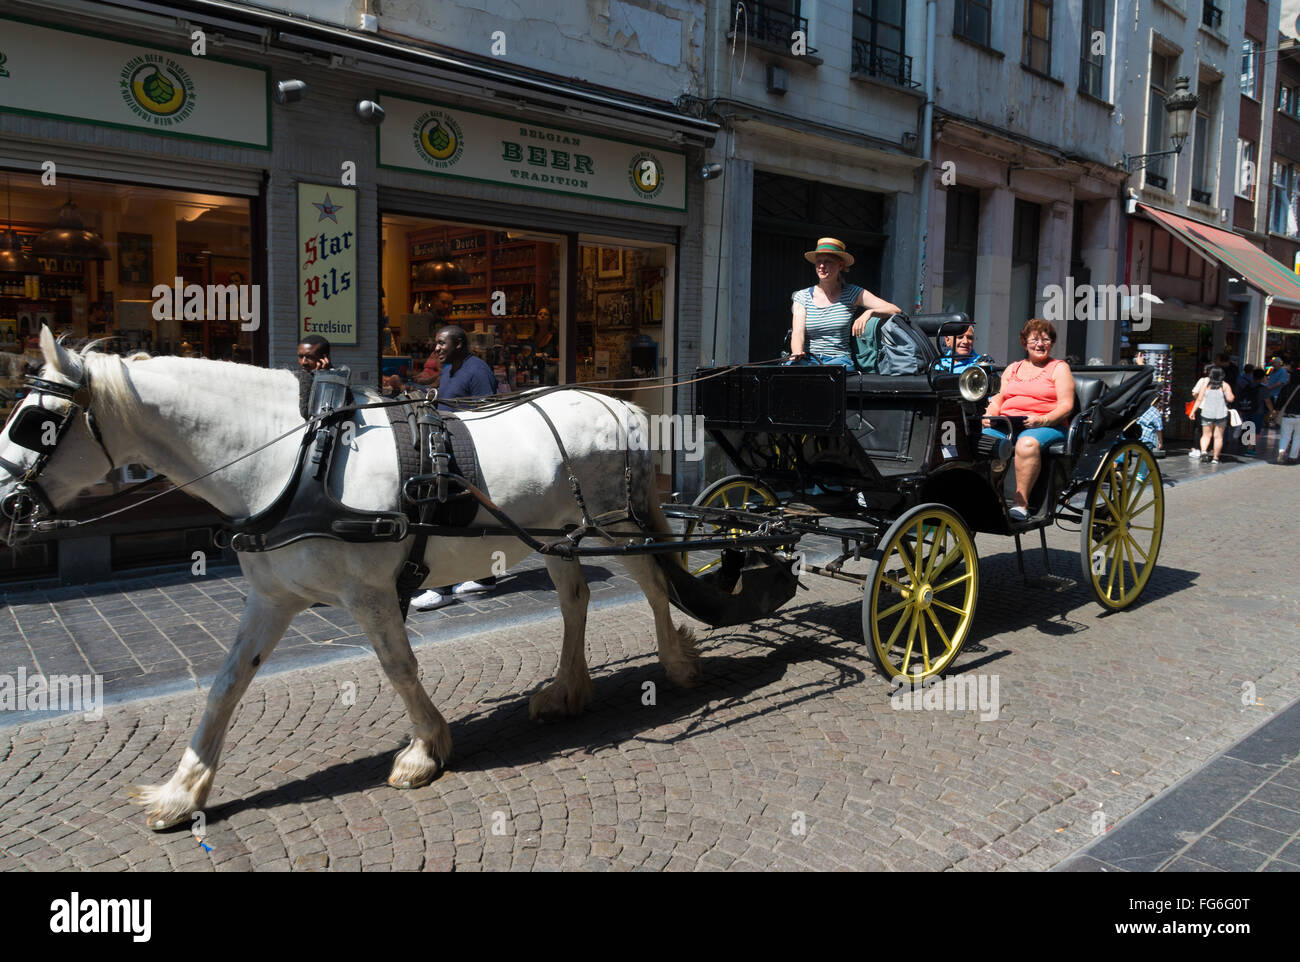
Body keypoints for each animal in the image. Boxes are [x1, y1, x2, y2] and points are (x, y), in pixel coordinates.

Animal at [2, 328, 702, 826]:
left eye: (35, 422)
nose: (3, 500)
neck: (291, 456)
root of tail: (617, 403)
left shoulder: (367, 594)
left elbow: (398, 666)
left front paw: (425, 750)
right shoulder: (272, 596)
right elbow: (226, 684)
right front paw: (183, 790)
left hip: (615, 524)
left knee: (652, 585)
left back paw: (676, 663)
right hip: (557, 534)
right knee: (576, 599)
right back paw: (566, 691)